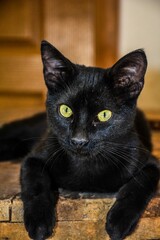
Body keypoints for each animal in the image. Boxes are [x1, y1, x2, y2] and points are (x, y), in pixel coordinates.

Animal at [0, 40, 160, 239]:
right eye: (65, 110)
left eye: (104, 115)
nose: (79, 140)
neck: (86, 167)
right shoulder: (34, 157)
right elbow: (35, 184)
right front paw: (39, 221)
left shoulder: (150, 162)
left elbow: (138, 185)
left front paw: (119, 220)